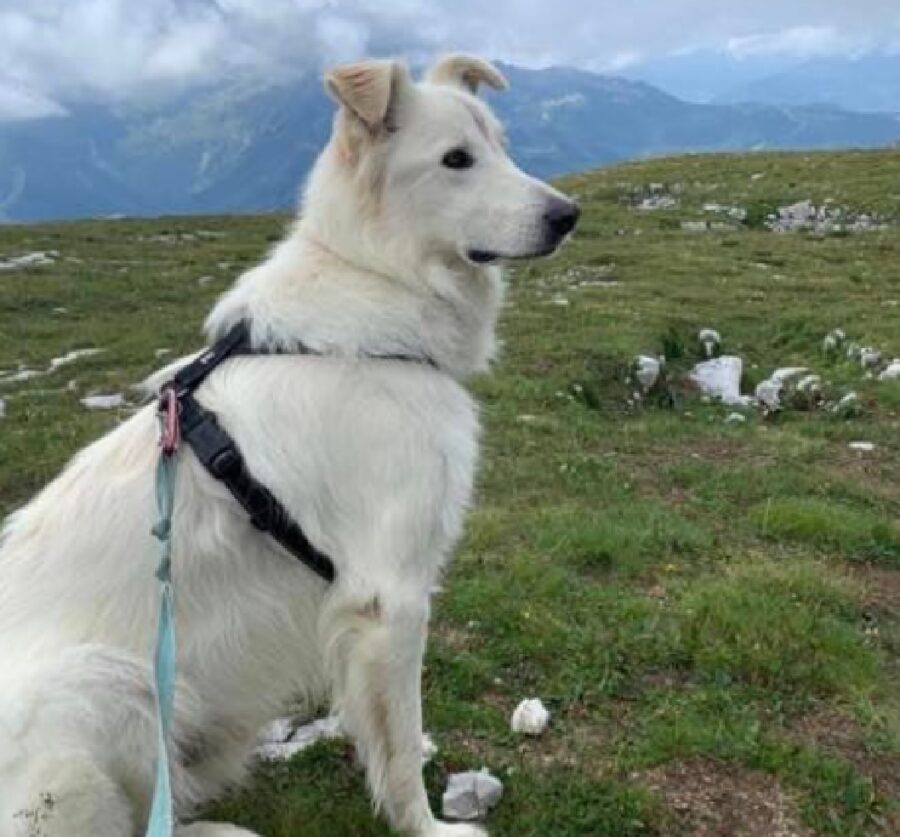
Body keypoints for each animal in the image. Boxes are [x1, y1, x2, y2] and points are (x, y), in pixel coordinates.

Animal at [0, 55, 576, 832]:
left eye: (502, 147)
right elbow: (398, 747)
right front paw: (427, 824)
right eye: (456, 159)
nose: (568, 215)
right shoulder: (390, 596)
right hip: (107, 682)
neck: (378, 281)